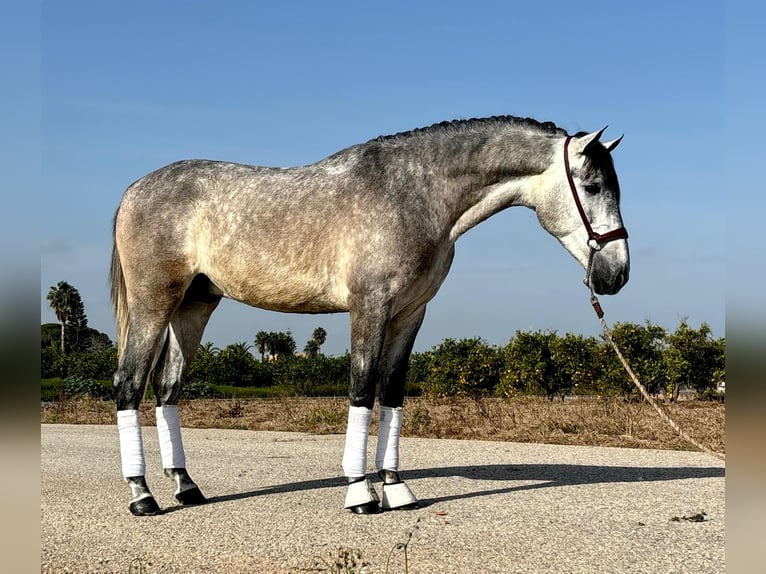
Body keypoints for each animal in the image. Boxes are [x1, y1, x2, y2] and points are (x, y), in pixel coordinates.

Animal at [112, 116, 632, 516]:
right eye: (592, 186)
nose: (617, 274)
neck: (413, 195)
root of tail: (134, 189)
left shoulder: (410, 314)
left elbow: (393, 393)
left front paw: (396, 488)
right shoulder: (370, 306)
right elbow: (362, 389)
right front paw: (361, 494)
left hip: (194, 305)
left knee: (167, 388)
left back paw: (186, 487)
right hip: (154, 303)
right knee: (129, 383)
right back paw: (142, 497)